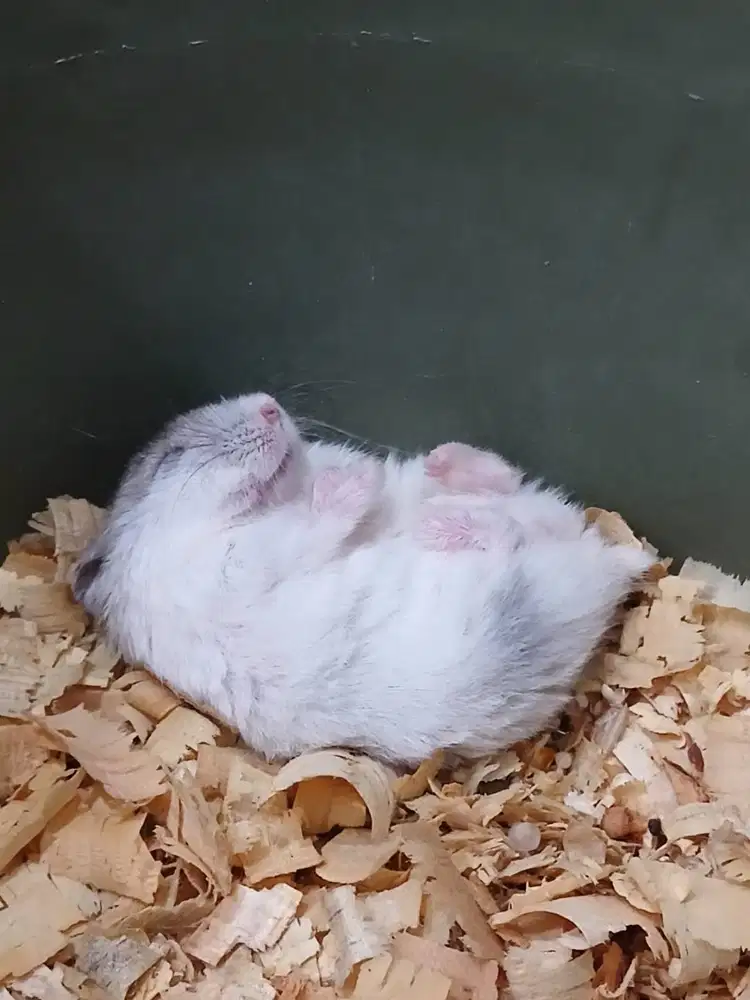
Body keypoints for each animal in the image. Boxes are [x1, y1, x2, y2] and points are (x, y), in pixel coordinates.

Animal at [72, 392, 652, 766]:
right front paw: (353, 480)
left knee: (505, 492)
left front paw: (356, 473)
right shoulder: (236, 565)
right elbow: (307, 529)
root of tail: (610, 561)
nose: (270, 405)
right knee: (508, 537)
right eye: (171, 457)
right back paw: (443, 525)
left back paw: (444, 470)